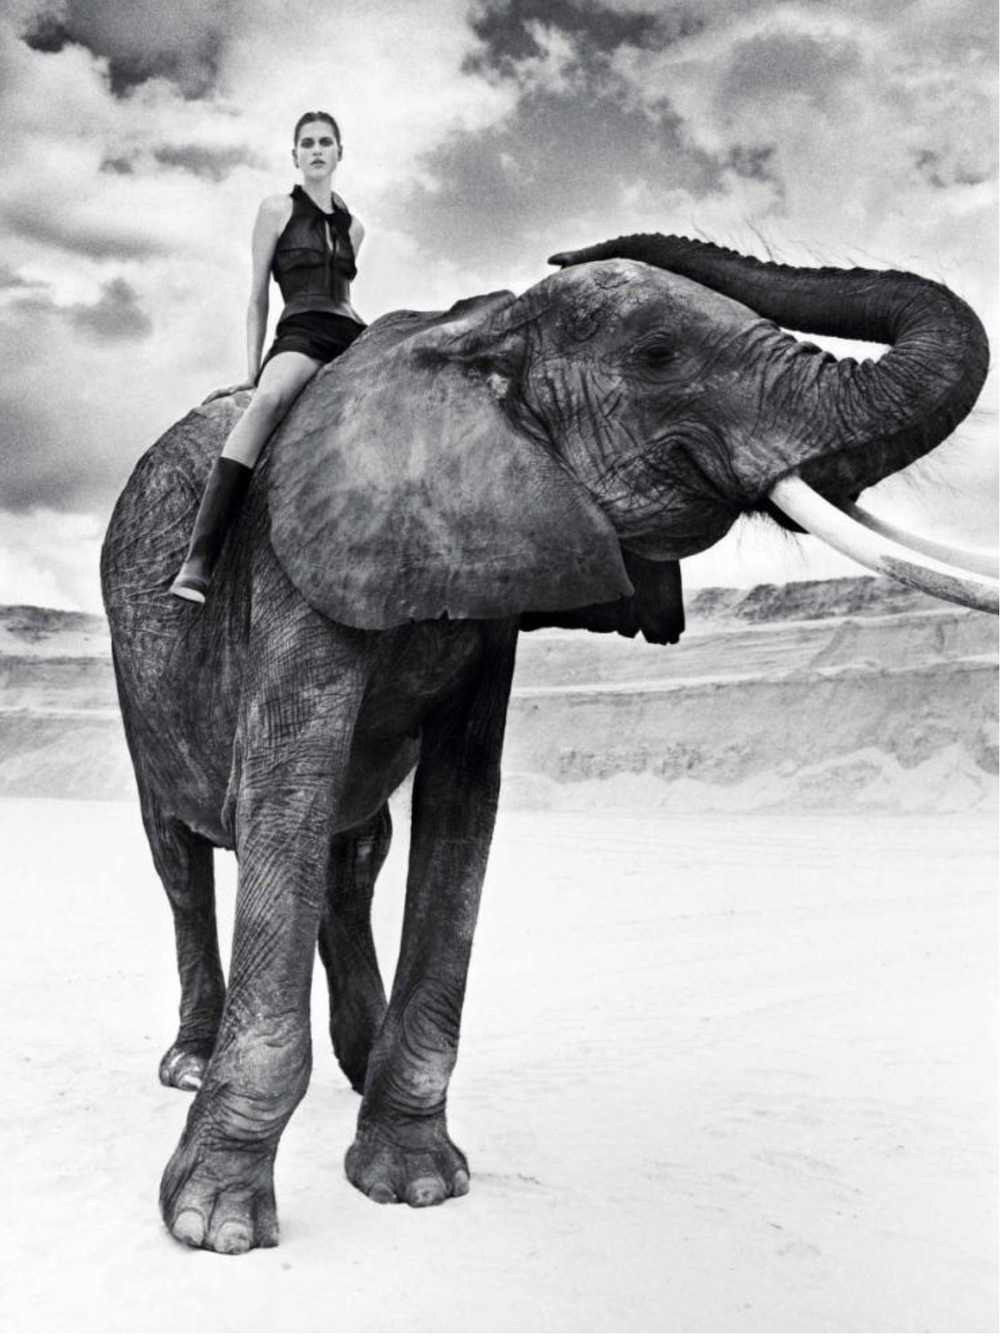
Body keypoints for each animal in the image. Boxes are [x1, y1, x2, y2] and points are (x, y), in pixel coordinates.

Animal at [100, 232, 995, 1254]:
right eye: (659, 357)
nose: (569, 247)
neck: (473, 336)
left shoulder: (488, 568)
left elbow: (460, 805)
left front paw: (414, 1185)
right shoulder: (299, 563)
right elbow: (287, 794)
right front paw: (214, 1227)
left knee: (353, 854)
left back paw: (355, 1062)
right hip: (137, 677)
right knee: (181, 857)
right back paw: (187, 1063)